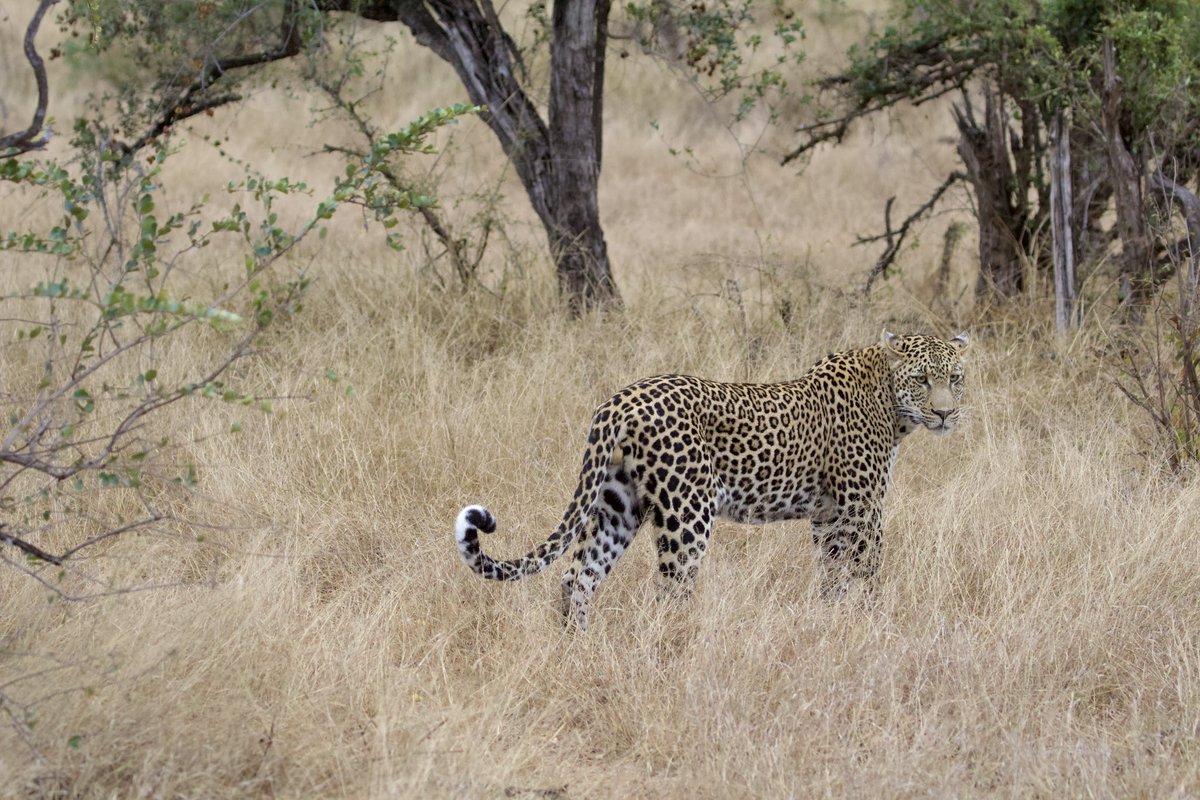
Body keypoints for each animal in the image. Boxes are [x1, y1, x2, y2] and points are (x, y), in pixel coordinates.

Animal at [453, 328, 969, 628]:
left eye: (957, 378)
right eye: (923, 380)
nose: (946, 414)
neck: (890, 401)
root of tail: (620, 399)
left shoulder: (828, 516)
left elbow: (833, 576)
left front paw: (833, 622)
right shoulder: (863, 510)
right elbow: (866, 573)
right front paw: (870, 626)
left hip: (618, 506)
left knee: (576, 576)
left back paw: (578, 649)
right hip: (687, 513)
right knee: (667, 593)